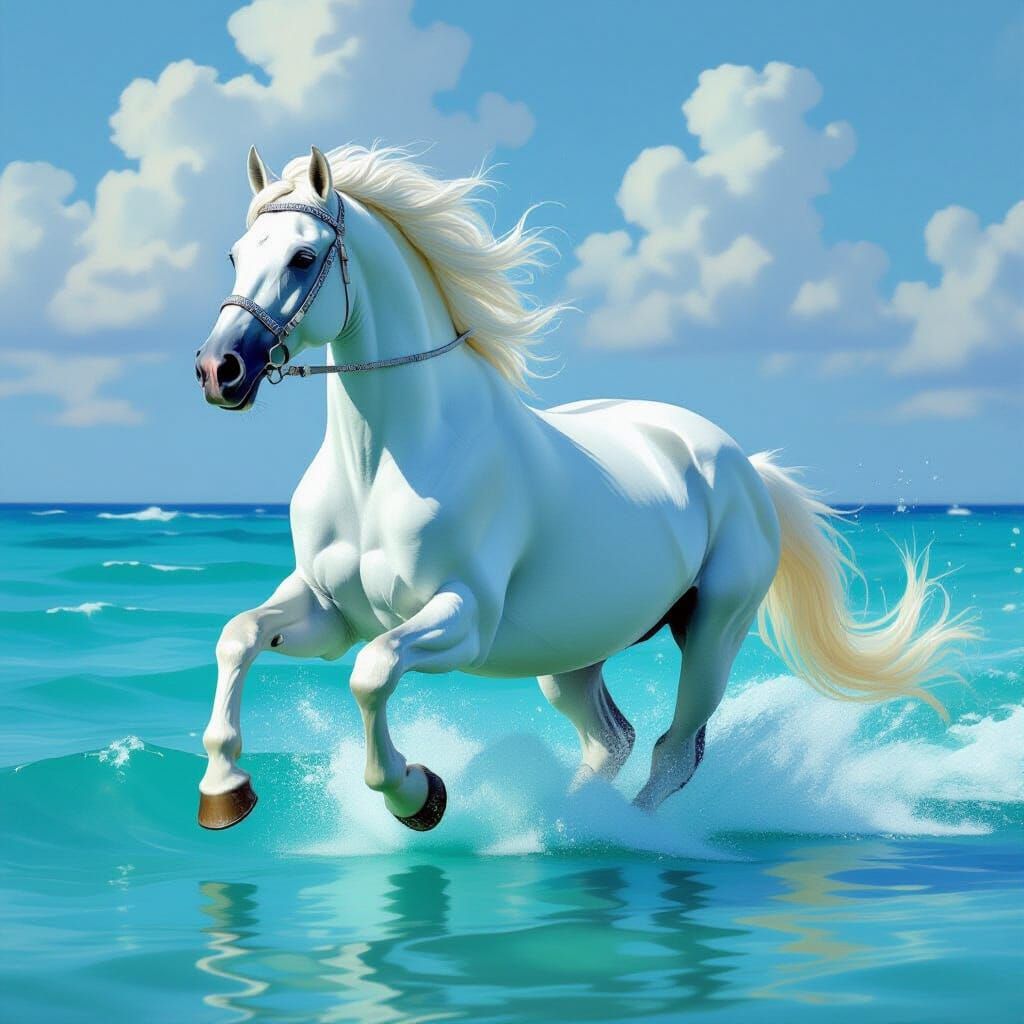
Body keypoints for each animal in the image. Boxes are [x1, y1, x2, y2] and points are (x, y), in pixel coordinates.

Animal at [193, 144, 972, 831]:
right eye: (235, 254)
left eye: (302, 256)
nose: (219, 370)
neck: (382, 465)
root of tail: (745, 465)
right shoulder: (329, 613)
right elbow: (239, 637)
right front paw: (225, 790)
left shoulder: (461, 618)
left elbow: (374, 671)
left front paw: (418, 794)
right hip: (572, 655)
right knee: (611, 741)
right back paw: (555, 825)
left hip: (714, 632)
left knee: (671, 753)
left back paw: (597, 833)